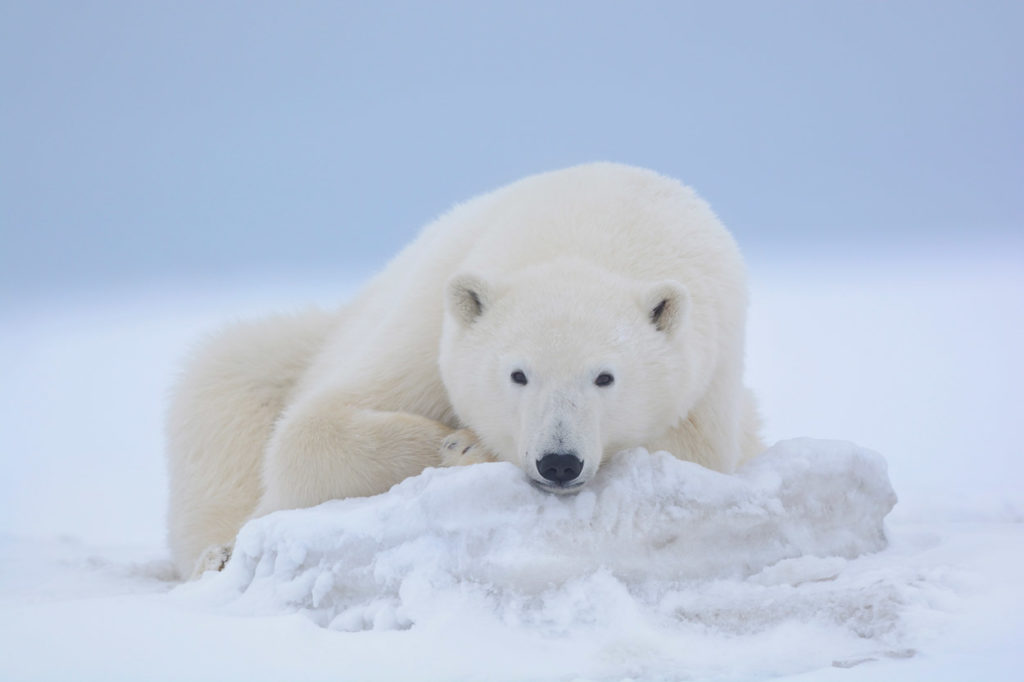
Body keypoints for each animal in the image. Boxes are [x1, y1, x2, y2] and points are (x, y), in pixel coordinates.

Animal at [165, 161, 761, 577]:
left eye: (604, 377)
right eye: (518, 374)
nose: (559, 462)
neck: (597, 232)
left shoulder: (709, 369)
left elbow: (692, 451)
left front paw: (469, 447)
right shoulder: (426, 328)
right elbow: (308, 432)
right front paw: (454, 444)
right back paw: (218, 553)